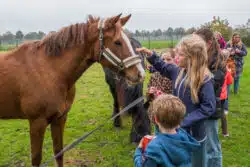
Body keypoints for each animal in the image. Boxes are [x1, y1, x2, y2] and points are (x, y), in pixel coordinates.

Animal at [0, 14, 145, 167]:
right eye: (117, 42)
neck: (49, 70)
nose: (140, 73)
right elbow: (36, 158)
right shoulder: (37, 123)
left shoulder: (60, 118)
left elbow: (59, 152)